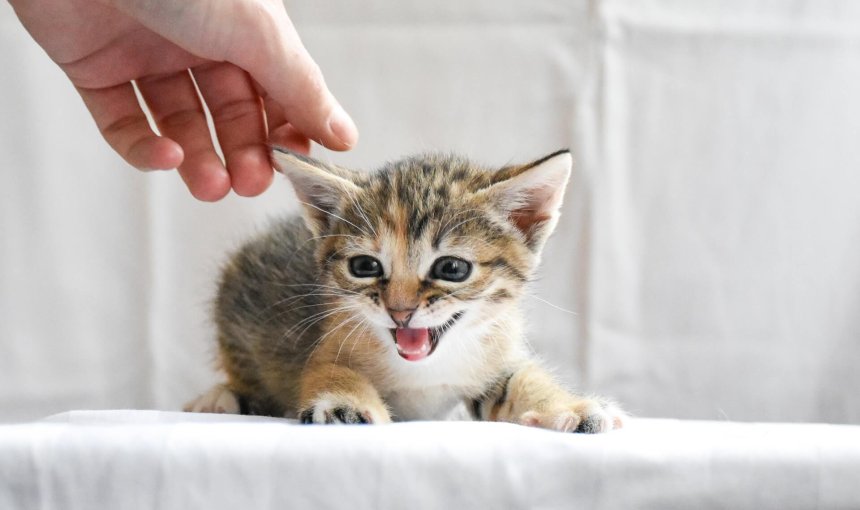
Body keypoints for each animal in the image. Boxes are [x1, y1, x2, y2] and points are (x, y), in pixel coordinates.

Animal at [185, 147, 624, 430]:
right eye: (365, 266)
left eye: (451, 268)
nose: (400, 311)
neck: (426, 371)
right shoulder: (330, 340)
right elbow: (328, 369)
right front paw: (344, 403)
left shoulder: (496, 355)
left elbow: (521, 377)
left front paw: (569, 406)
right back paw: (219, 398)